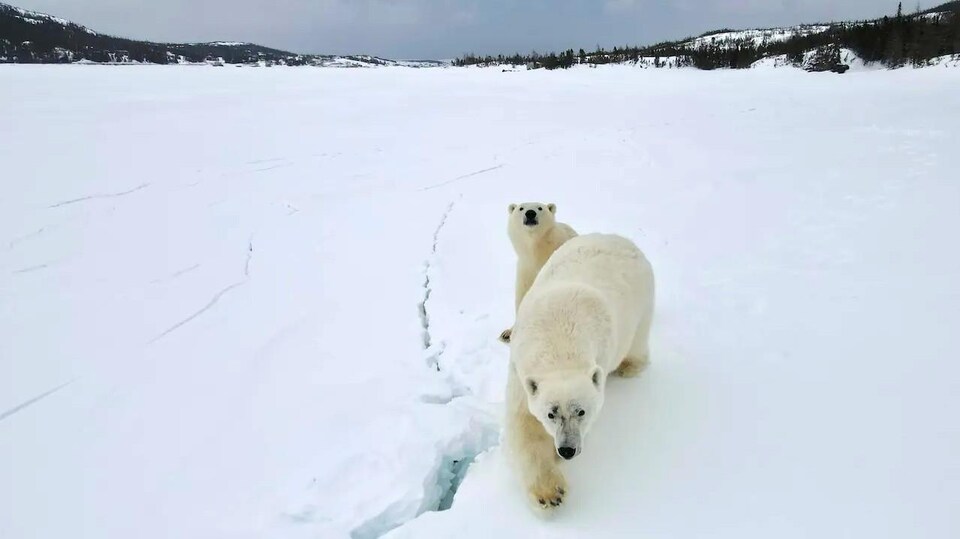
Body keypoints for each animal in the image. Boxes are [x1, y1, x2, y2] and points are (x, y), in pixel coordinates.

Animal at [498, 200, 580, 344]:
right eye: (521, 208)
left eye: (540, 208)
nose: (530, 213)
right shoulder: (526, 269)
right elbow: (523, 295)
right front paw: (508, 333)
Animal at [502, 233, 652, 510]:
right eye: (551, 413)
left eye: (581, 411)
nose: (567, 450)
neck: (558, 345)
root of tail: (618, 238)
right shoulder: (520, 370)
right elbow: (524, 423)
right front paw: (549, 493)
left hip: (643, 299)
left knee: (637, 338)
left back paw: (629, 366)